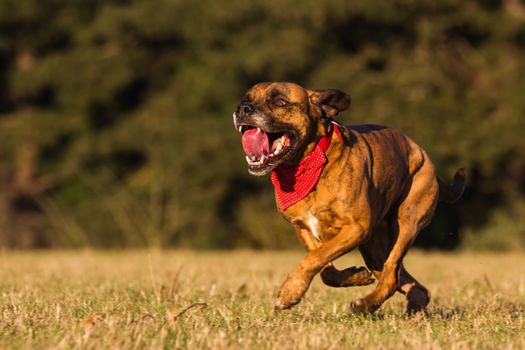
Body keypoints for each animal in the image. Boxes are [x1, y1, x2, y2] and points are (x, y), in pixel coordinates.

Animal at [232, 82, 462, 314]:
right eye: (245, 99)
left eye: (280, 102)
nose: (243, 109)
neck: (307, 163)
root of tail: (422, 153)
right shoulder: (303, 227)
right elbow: (325, 268)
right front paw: (356, 276)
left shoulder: (356, 227)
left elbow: (315, 257)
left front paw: (289, 292)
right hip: (375, 250)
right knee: (405, 281)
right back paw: (409, 305)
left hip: (405, 224)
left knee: (391, 274)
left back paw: (365, 305)